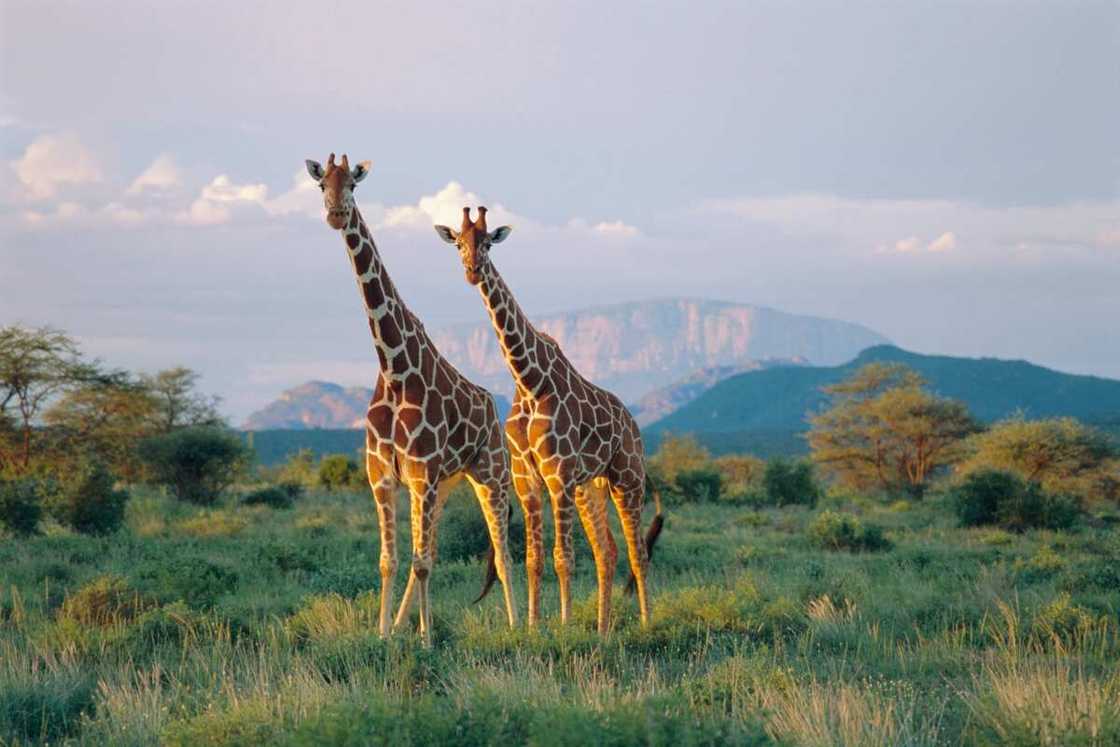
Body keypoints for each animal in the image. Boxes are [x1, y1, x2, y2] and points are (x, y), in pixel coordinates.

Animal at [304, 154, 517, 645]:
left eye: (354, 184)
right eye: (322, 184)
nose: (335, 214)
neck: (395, 368)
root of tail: (491, 405)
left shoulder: (422, 475)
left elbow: (420, 563)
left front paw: (426, 639)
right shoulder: (383, 475)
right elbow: (392, 560)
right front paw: (385, 635)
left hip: (490, 474)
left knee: (501, 553)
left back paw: (523, 625)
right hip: (446, 484)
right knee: (433, 549)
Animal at [434, 207, 663, 636]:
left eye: (487, 242)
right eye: (458, 243)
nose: (472, 271)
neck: (529, 380)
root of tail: (632, 423)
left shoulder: (558, 476)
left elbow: (563, 557)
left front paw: (565, 624)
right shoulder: (527, 479)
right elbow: (534, 558)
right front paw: (532, 626)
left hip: (627, 477)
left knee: (637, 551)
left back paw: (644, 622)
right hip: (591, 486)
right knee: (607, 550)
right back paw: (603, 629)